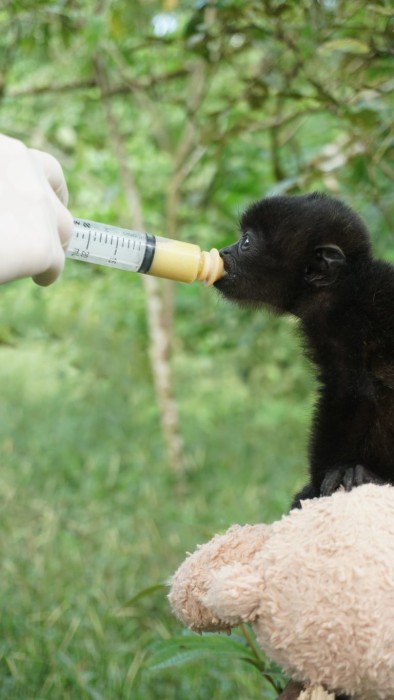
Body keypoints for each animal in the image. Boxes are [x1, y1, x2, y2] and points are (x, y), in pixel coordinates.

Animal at [215, 194, 394, 506]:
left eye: (246, 242)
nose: (224, 251)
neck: (344, 284)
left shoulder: (338, 321)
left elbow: (351, 393)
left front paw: (321, 482)